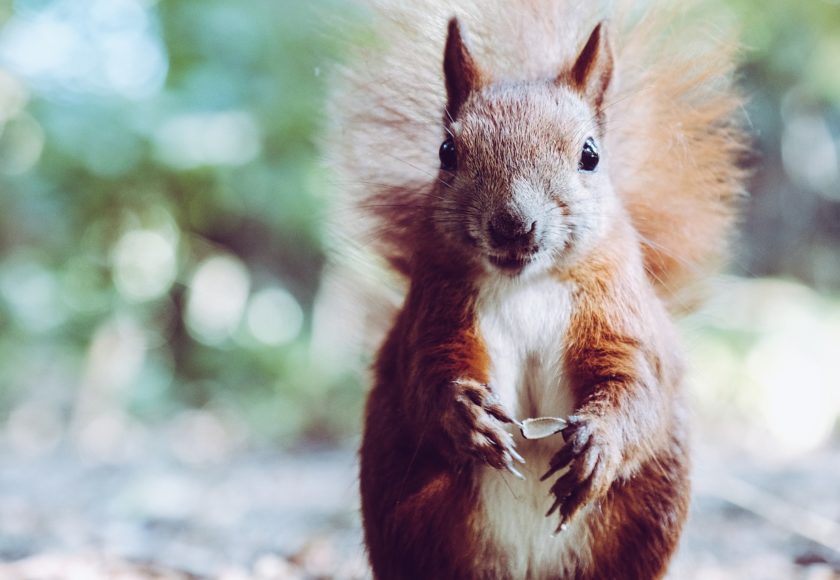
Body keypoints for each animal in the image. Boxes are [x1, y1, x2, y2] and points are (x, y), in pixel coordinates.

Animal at [326, 2, 748, 576]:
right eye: (446, 151)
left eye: (590, 154)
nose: (513, 225)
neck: (525, 285)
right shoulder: (433, 316)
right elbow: (426, 377)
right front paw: (466, 416)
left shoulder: (619, 315)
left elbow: (634, 382)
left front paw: (599, 443)